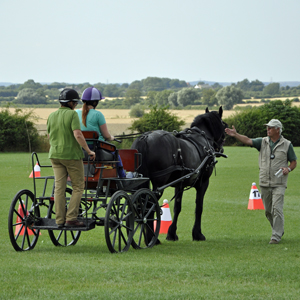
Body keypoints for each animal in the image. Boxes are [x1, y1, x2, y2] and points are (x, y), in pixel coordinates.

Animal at [131, 106, 227, 240]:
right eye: (224, 125)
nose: (221, 148)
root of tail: (145, 138)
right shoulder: (203, 182)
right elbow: (199, 207)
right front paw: (197, 234)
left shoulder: (179, 184)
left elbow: (177, 207)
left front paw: (172, 233)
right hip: (159, 185)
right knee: (149, 206)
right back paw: (152, 238)